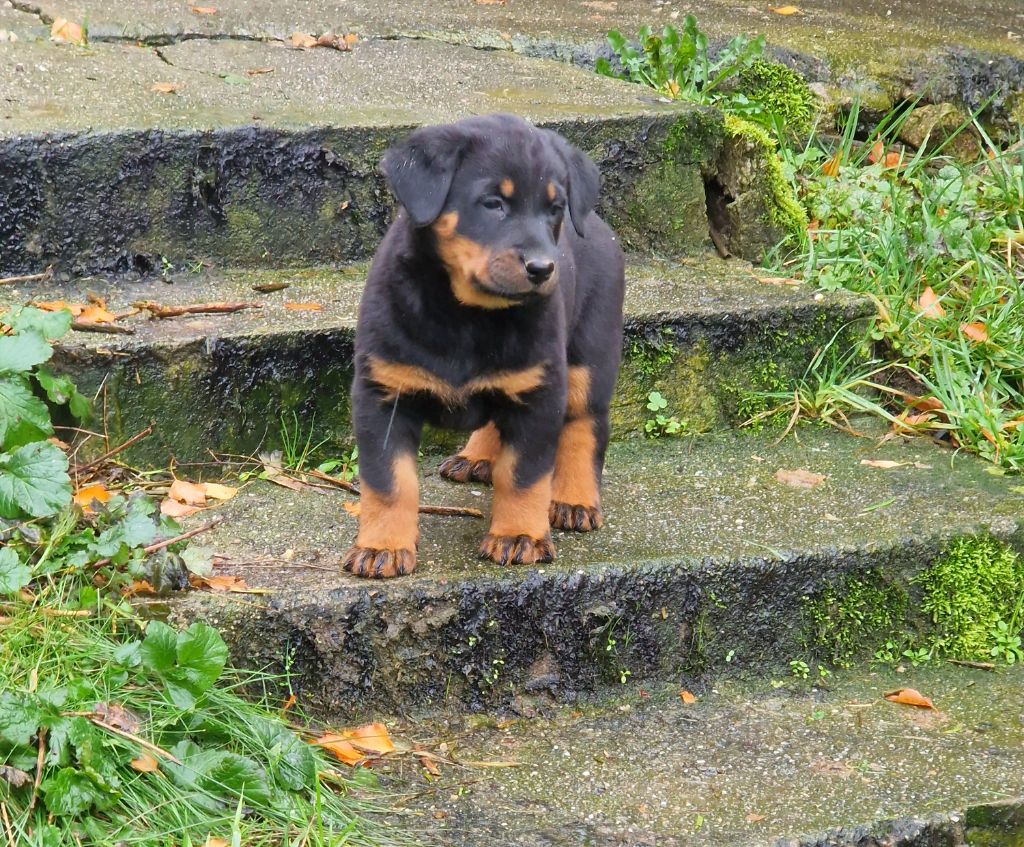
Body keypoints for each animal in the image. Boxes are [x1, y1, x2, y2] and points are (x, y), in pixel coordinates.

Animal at [344, 112, 622, 581]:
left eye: (554, 208)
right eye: (493, 204)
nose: (543, 268)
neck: (469, 317)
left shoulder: (540, 393)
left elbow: (524, 475)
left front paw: (519, 536)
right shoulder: (381, 392)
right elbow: (388, 481)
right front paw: (382, 546)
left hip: (590, 359)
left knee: (586, 425)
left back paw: (573, 499)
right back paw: (478, 456)